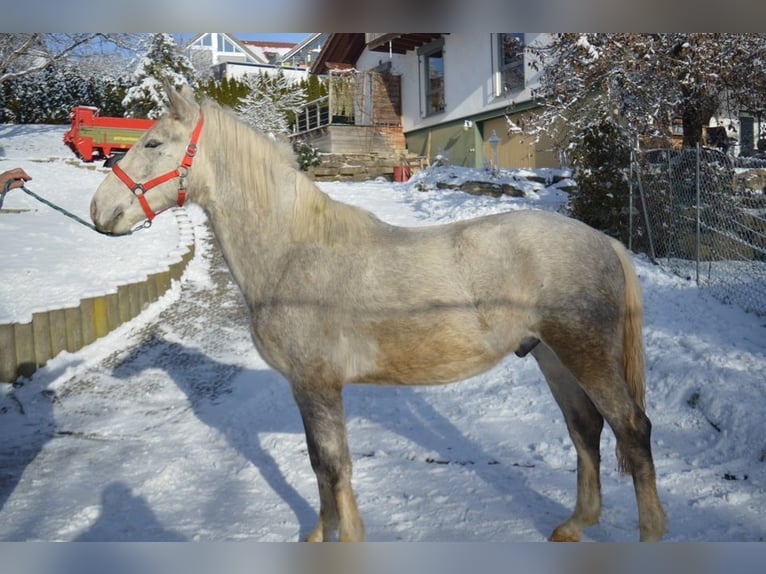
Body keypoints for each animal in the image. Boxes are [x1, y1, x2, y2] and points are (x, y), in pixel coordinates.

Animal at [88, 85, 664, 544]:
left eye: (152, 143)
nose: (99, 211)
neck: (294, 250)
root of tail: (605, 241)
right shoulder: (305, 387)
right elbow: (319, 464)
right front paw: (320, 536)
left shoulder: (318, 383)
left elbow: (334, 465)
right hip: (552, 356)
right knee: (585, 430)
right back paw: (575, 525)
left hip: (585, 354)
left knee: (631, 428)